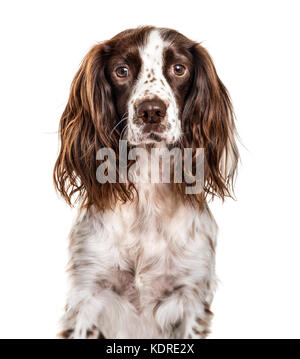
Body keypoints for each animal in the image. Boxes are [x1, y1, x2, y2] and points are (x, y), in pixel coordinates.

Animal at [52, 26, 238, 338]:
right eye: (122, 70)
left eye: (179, 68)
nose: (151, 111)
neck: (148, 196)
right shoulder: (87, 295)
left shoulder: (191, 297)